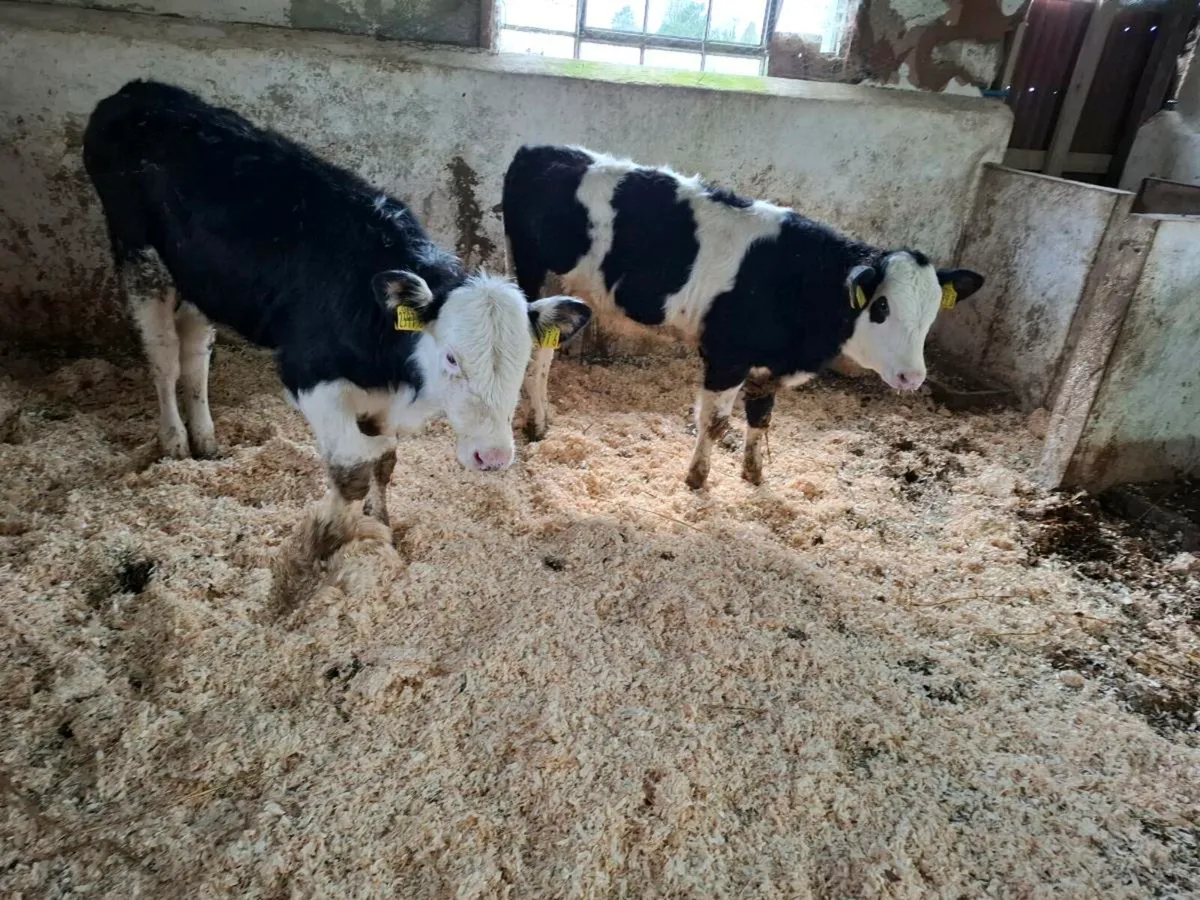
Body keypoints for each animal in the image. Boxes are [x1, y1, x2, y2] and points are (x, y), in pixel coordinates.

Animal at [83, 82, 592, 530]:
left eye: (523, 360)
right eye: (450, 357)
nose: (493, 456)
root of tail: (138, 91)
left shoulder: (383, 401)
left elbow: (385, 461)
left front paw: (380, 527)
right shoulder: (310, 377)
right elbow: (351, 468)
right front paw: (330, 540)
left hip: (200, 279)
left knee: (195, 353)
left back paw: (205, 439)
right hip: (138, 255)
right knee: (164, 357)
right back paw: (174, 442)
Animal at [502, 145, 984, 489]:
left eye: (931, 314)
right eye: (882, 307)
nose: (912, 377)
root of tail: (539, 150)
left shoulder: (768, 364)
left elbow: (761, 416)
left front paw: (753, 474)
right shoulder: (726, 354)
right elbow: (715, 423)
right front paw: (696, 479)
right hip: (531, 274)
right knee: (536, 352)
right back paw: (534, 423)